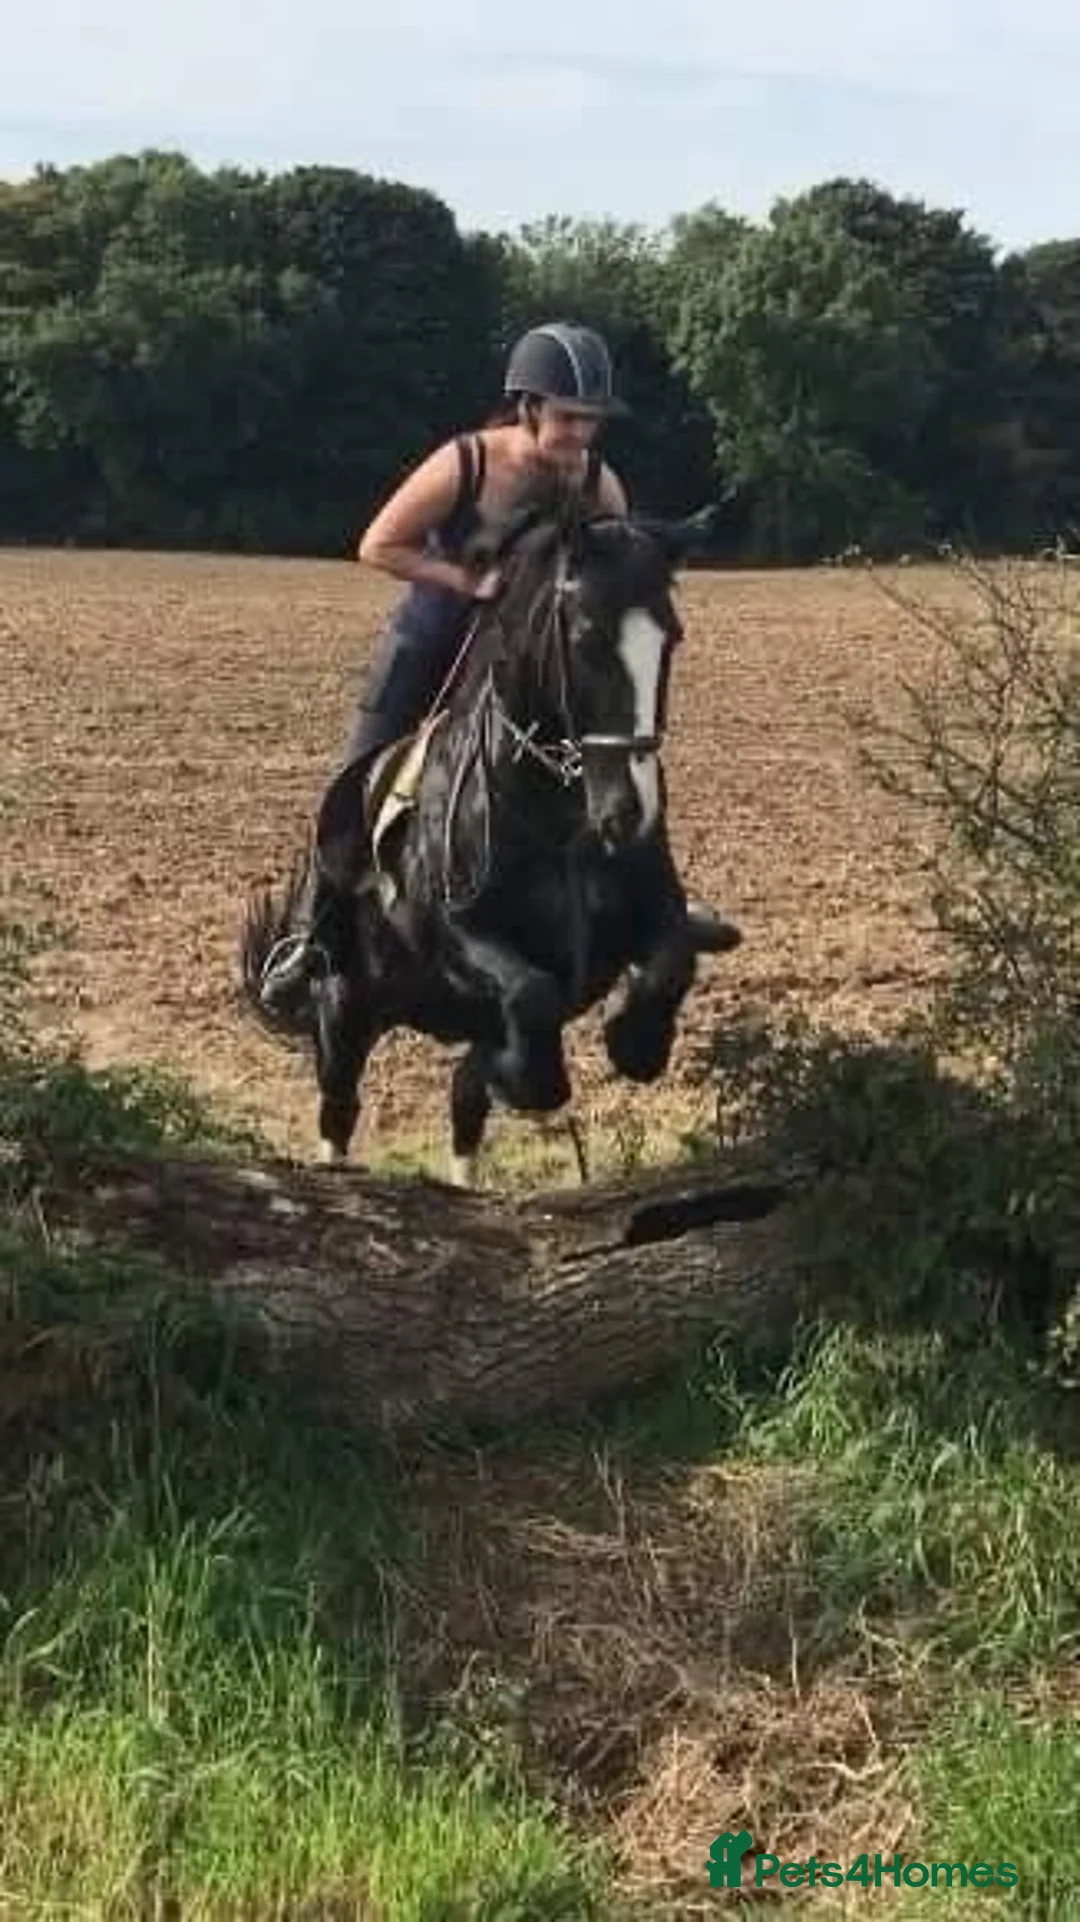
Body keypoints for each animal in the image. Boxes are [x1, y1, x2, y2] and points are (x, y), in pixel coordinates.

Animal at [240, 483, 740, 1181]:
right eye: (585, 637)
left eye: (671, 639)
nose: (628, 814)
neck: (560, 816)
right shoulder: (457, 936)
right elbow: (531, 999)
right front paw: (528, 1074)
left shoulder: (644, 921)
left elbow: (669, 965)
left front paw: (635, 1042)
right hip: (343, 1007)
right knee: (339, 1109)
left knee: (463, 1111)